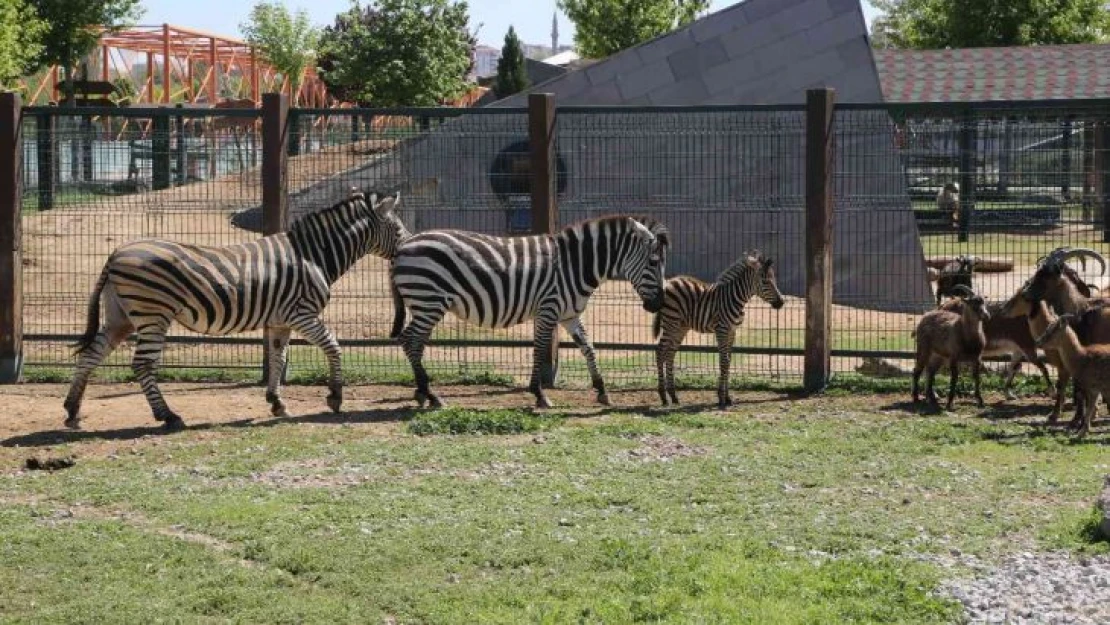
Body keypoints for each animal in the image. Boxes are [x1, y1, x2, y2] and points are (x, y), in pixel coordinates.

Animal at [61, 188, 408, 430]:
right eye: (399, 231)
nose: (407, 249)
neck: (314, 256)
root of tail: (115, 254)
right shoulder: (302, 314)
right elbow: (333, 347)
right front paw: (335, 396)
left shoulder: (281, 320)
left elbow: (278, 358)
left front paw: (276, 402)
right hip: (153, 314)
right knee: (142, 364)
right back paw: (168, 416)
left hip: (121, 316)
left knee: (91, 354)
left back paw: (72, 410)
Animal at [390, 215, 666, 410]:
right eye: (653, 262)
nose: (659, 305)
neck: (574, 266)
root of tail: (403, 246)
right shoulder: (548, 309)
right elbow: (540, 349)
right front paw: (539, 394)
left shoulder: (569, 315)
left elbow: (588, 347)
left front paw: (601, 390)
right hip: (429, 300)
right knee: (410, 340)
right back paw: (431, 394)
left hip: (426, 303)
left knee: (414, 342)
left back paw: (423, 393)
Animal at [648, 251, 790, 408]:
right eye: (765, 281)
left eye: (774, 280)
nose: (781, 302)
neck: (735, 298)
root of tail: (670, 282)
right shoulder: (722, 329)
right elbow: (723, 361)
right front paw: (721, 398)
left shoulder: (732, 331)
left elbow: (728, 361)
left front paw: (727, 398)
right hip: (670, 322)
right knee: (660, 351)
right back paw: (663, 397)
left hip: (680, 327)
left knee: (670, 353)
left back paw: (673, 396)